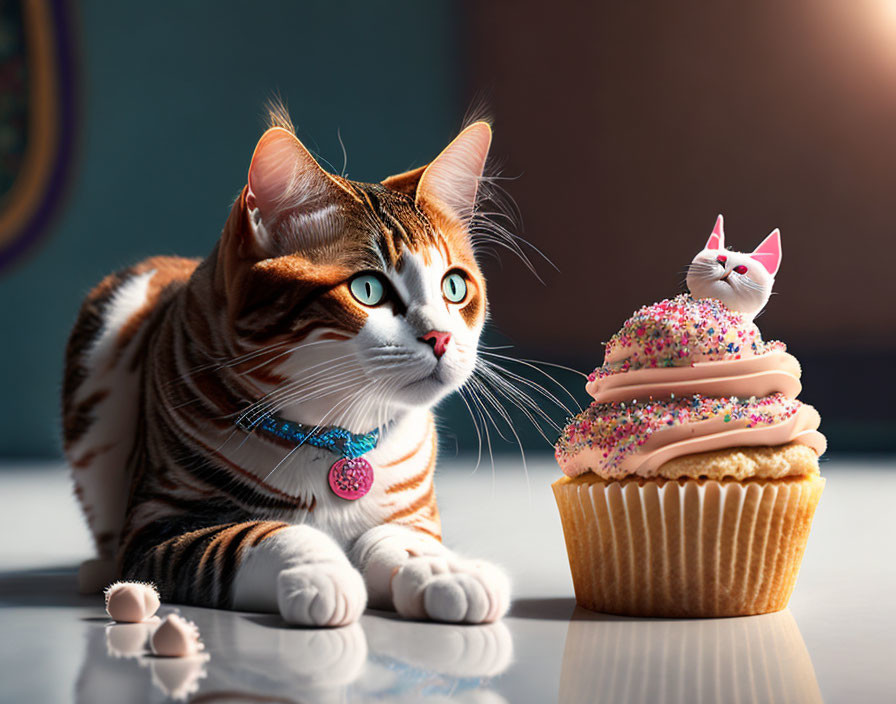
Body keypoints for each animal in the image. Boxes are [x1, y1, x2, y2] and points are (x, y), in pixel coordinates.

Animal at [61, 110, 512, 628]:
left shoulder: (411, 512)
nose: (441, 337)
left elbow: (399, 540)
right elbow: (256, 534)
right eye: (369, 290)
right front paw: (317, 570)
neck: (335, 436)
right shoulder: (158, 522)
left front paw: (444, 570)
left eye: (454, 286)